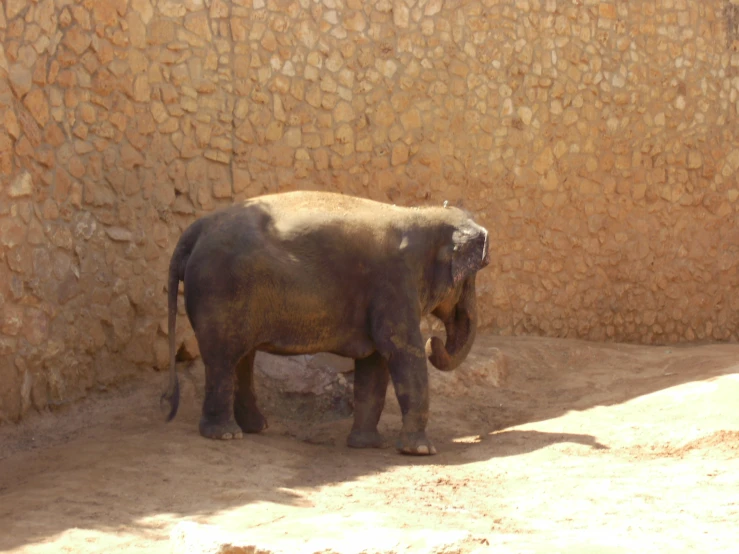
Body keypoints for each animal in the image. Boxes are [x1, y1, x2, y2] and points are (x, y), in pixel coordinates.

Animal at [163, 190, 492, 452]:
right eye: (470, 278)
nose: (434, 341)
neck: (420, 214)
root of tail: (196, 228)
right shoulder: (394, 284)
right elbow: (402, 352)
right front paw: (421, 451)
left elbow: (375, 364)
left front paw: (365, 445)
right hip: (220, 288)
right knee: (223, 357)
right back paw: (226, 435)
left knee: (241, 357)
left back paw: (255, 428)